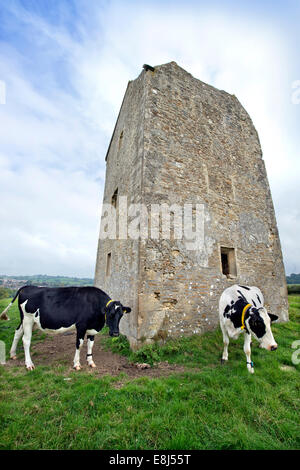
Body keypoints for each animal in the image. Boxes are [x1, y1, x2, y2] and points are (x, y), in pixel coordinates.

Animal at [0, 286, 131, 370]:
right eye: (110, 314)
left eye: (121, 315)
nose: (115, 333)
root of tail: (28, 286)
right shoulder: (81, 326)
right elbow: (80, 344)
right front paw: (77, 364)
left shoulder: (92, 328)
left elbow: (90, 345)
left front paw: (90, 362)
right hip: (27, 319)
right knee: (26, 340)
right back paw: (29, 364)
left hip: (30, 321)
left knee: (17, 332)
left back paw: (12, 354)